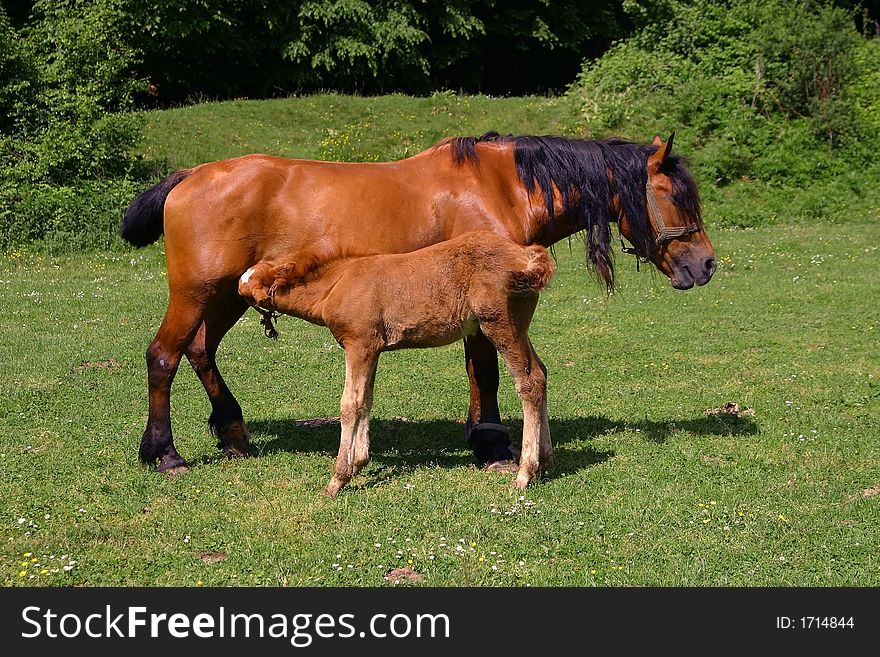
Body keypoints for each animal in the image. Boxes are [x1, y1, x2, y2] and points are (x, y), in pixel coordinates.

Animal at [237, 231, 552, 492]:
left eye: (250, 285)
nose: (234, 285)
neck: (337, 284)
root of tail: (528, 256)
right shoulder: (372, 349)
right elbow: (366, 399)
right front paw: (359, 462)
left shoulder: (359, 345)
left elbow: (350, 404)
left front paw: (338, 478)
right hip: (519, 328)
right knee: (542, 372)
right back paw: (545, 460)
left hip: (501, 325)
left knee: (530, 382)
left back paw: (525, 473)